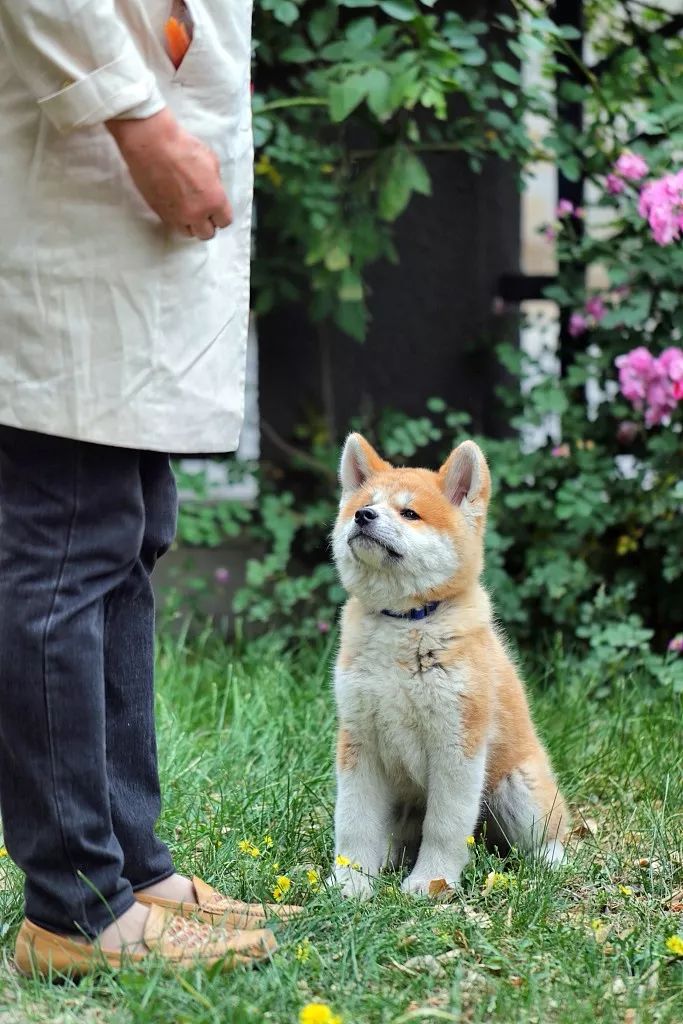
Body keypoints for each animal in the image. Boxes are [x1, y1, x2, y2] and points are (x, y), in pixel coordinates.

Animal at [327, 432, 569, 897]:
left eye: (410, 513)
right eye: (364, 503)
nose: (363, 516)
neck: (404, 623)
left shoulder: (457, 744)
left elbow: (445, 826)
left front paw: (431, 882)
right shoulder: (359, 742)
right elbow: (354, 823)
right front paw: (350, 882)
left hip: (517, 789)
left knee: (550, 835)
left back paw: (549, 862)